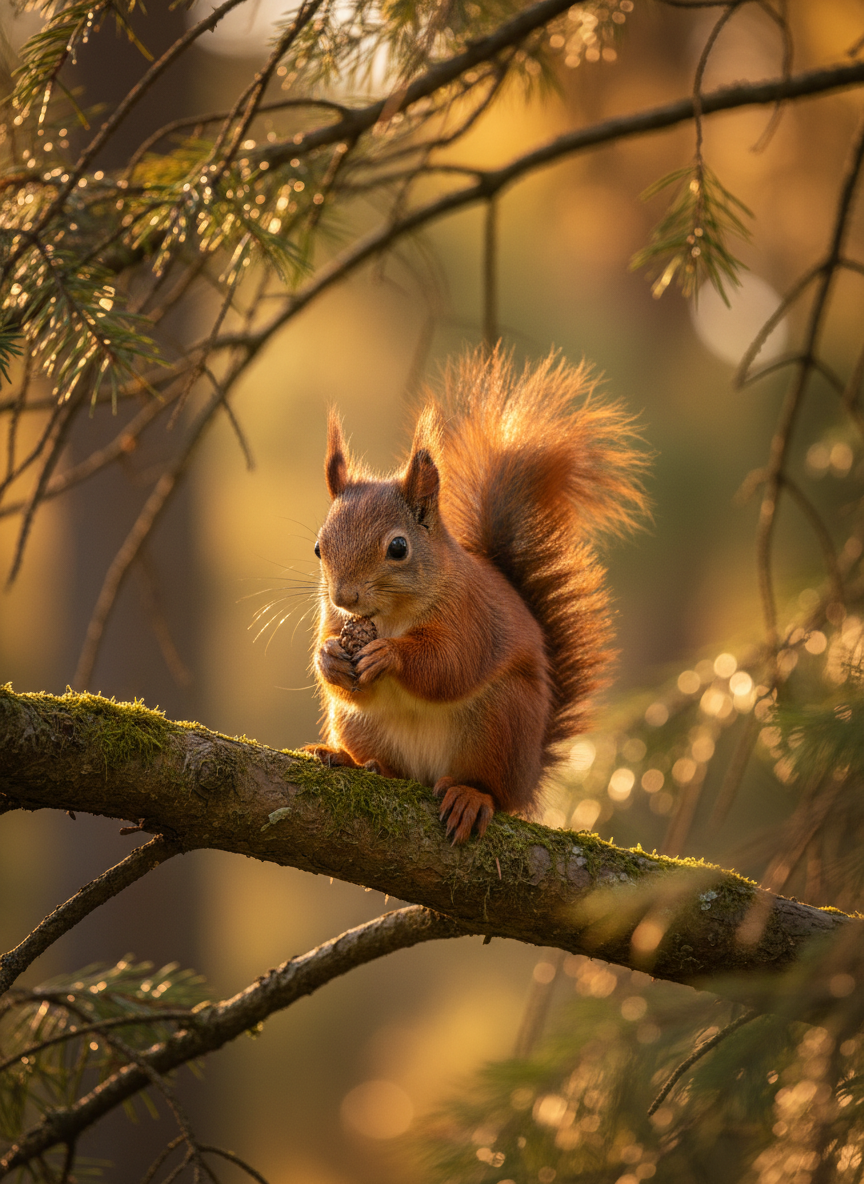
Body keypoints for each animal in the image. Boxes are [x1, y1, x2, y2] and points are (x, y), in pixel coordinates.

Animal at [303, 349, 647, 844]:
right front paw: (329, 657)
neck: (390, 617)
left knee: (493, 789)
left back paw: (470, 796)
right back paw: (352, 760)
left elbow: (451, 663)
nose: (345, 596)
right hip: (358, 726)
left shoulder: (471, 615)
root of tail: (529, 776)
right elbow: (342, 676)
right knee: (386, 763)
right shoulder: (330, 618)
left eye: (398, 547)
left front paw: (389, 655)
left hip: (500, 722)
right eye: (319, 548)